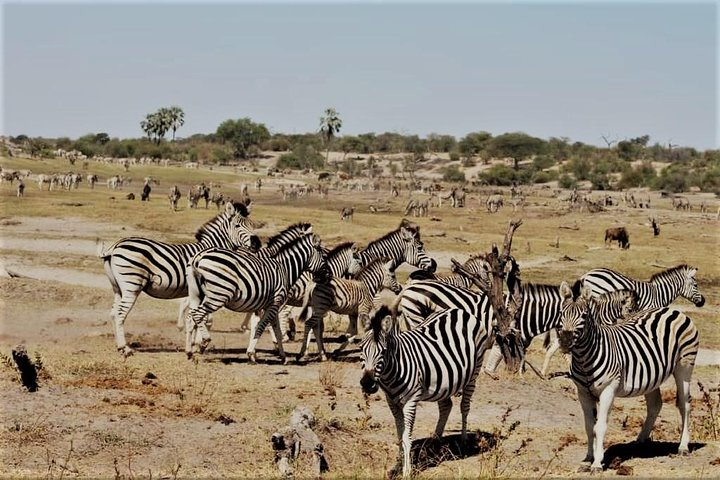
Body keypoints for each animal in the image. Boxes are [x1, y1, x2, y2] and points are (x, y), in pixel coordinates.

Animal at [98, 202, 260, 356]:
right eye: (237, 225)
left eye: (253, 225)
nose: (256, 242)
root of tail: (115, 246)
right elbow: (205, 318)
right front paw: (198, 344)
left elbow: (197, 316)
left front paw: (194, 343)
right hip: (132, 285)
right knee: (120, 314)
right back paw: (125, 348)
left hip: (118, 288)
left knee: (113, 313)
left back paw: (119, 346)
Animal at [184, 234, 329, 364]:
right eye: (323, 257)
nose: (328, 276)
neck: (285, 269)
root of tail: (199, 256)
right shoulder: (275, 303)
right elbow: (261, 327)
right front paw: (251, 354)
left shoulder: (269, 305)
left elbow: (275, 330)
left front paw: (283, 356)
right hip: (219, 295)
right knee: (197, 314)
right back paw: (204, 342)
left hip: (197, 294)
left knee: (190, 316)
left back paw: (189, 352)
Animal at [360, 306, 493, 480]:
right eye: (361, 349)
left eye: (383, 352)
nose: (367, 384)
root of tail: (458, 310)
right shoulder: (392, 402)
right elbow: (400, 436)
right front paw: (399, 465)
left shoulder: (410, 401)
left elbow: (406, 438)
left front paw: (407, 471)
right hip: (445, 381)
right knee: (446, 406)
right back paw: (434, 442)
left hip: (474, 372)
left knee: (464, 407)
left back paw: (463, 441)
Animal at [557, 282, 699, 473]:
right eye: (561, 314)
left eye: (584, 316)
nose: (565, 342)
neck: (584, 359)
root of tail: (672, 310)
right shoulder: (583, 393)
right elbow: (589, 426)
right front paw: (588, 458)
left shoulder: (608, 390)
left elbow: (599, 426)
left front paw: (597, 463)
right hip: (652, 375)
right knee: (655, 404)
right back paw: (640, 440)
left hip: (684, 366)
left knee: (685, 405)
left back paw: (683, 446)